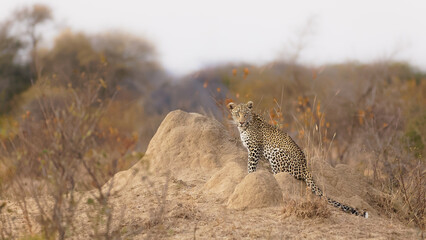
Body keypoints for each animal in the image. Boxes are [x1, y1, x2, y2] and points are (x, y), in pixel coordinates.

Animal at [228, 100, 368, 218]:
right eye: (237, 113)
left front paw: (248, 176)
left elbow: (250, 166)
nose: (241, 122)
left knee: (281, 174)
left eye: (245, 114)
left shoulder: (255, 149)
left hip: (276, 153)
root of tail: (306, 167)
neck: (245, 126)